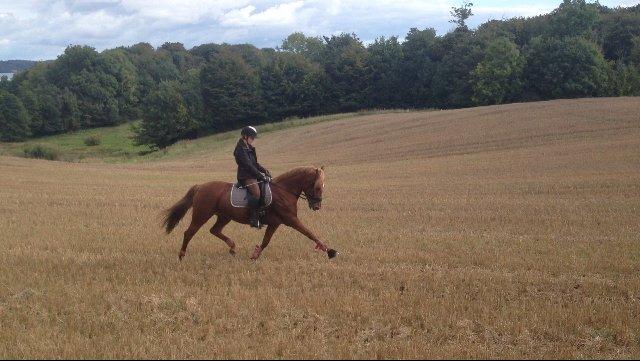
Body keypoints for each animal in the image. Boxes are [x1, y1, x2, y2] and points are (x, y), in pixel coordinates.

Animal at [162, 165, 338, 260]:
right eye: (317, 186)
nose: (317, 206)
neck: (284, 191)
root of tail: (200, 187)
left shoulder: (275, 223)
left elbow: (266, 241)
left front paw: (255, 255)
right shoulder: (291, 220)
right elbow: (309, 233)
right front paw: (330, 251)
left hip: (224, 216)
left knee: (214, 230)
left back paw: (232, 248)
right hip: (202, 215)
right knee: (189, 233)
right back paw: (181, 255)